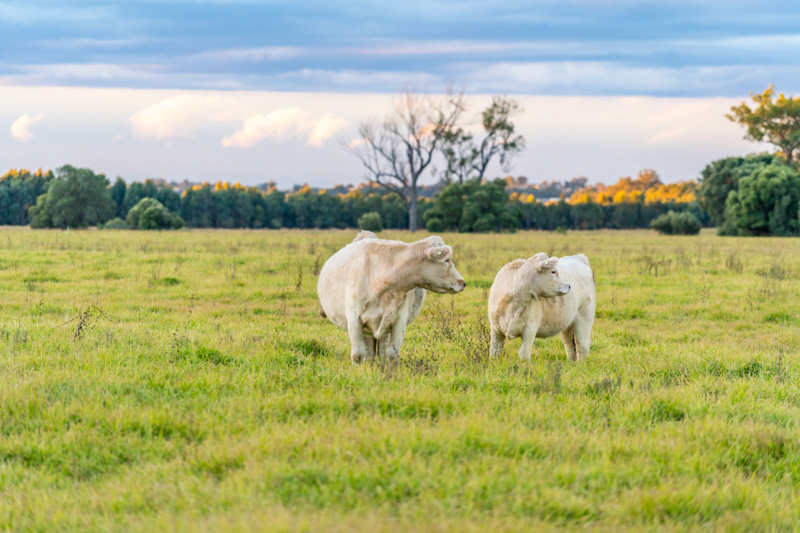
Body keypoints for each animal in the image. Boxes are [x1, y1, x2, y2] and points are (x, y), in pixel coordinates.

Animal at [318, 232, 466, 363]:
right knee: (369, 354)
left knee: (381, 352)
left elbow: (392, 354)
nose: (462, 282)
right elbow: (358, 355)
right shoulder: (354, 319)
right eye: (447, 260)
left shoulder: (399, 320)